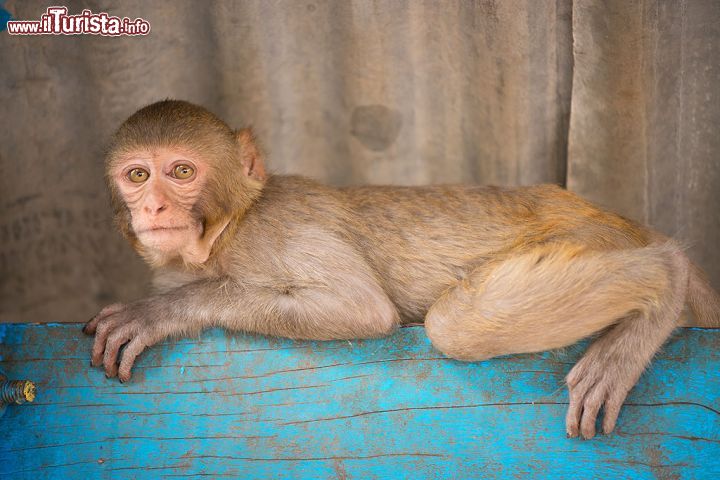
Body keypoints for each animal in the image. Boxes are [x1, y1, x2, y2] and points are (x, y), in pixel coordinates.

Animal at [84, 100, 720, 438]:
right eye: (138, 175)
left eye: (181, 172)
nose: (153, 207)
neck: (228, 227)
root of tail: (625, 223)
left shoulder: (274, 232)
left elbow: (358, 308)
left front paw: (164, 312)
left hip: (589, 237)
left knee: (457, 324)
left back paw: (665, 276)